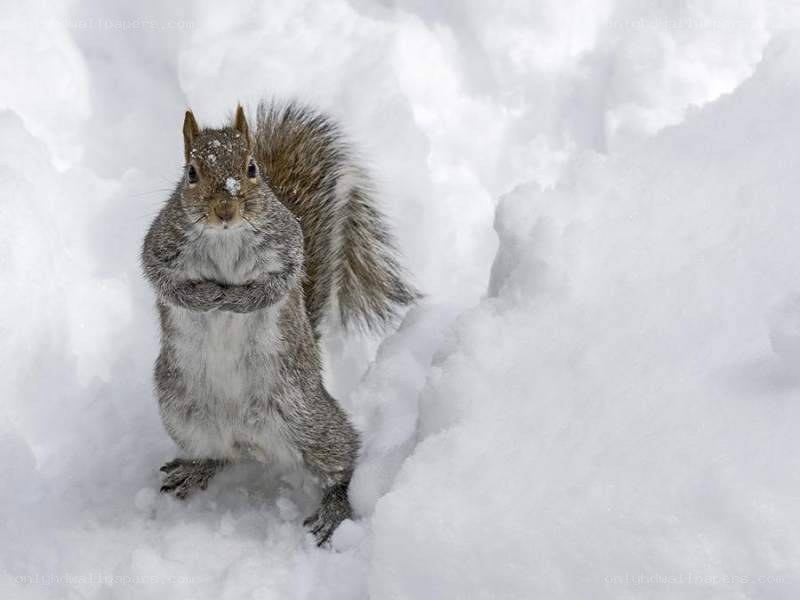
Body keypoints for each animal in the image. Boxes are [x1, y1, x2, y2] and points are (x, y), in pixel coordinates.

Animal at [141, 101, 418, 545]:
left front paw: (237, 300)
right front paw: (206, 297)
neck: (224, 237)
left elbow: (277, 285)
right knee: (217, 454)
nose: (226, 209)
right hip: (182, 414)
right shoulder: (160, 245)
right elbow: (163, 280)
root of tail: (250, 440)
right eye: (191, 172)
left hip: (306, 417)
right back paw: (196, 468)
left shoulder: (287, 247)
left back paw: (335, 508)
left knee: (343, 456)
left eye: (251, 168)